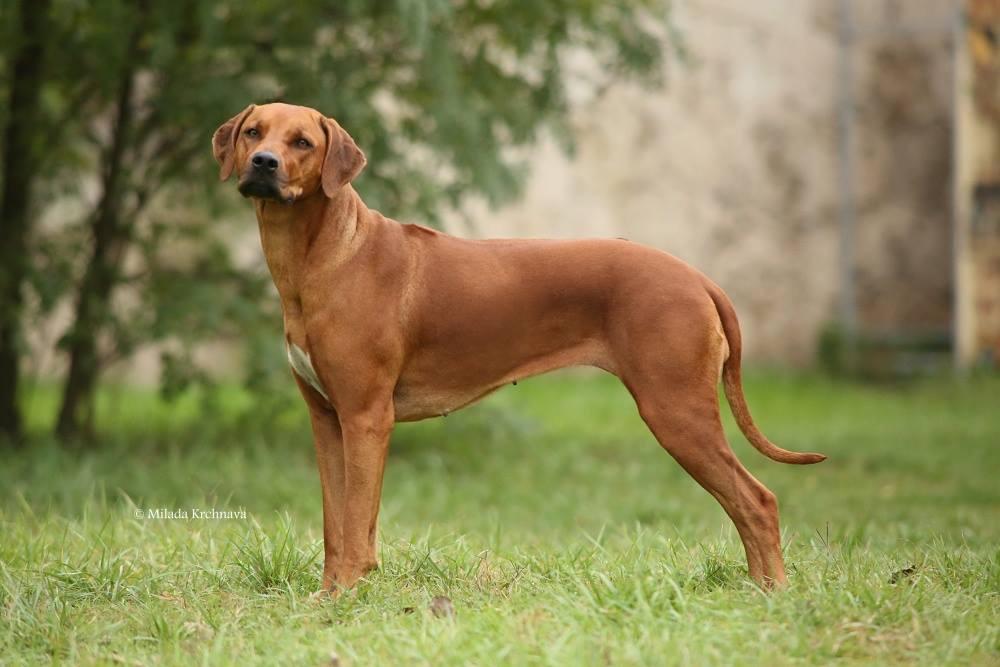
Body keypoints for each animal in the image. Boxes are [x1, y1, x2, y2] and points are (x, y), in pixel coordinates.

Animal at [209, 102, 820, 592]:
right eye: (254, 132)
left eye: (302, 143)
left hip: (675, 409)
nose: (263, 163)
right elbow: (337, 525)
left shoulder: (365, 418)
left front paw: (348, 599)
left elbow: (358, 527)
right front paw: (328, 597)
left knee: (757, 501)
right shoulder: (327, 419)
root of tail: (696, 276)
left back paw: (773, 593)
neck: (325, 255)